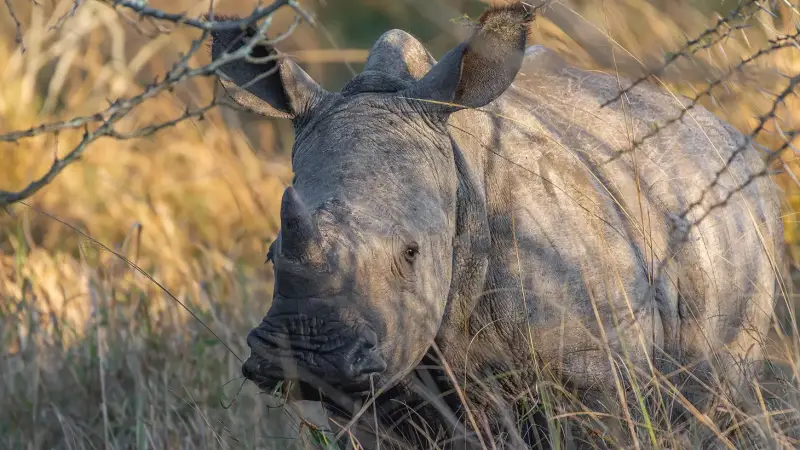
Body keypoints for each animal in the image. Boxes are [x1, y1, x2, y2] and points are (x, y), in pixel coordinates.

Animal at [210, 3, 785, 448]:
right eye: (270, 254)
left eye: (411, 253)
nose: (302, 355)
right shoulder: (369, 405)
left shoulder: (597, 376)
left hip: (744, 224)